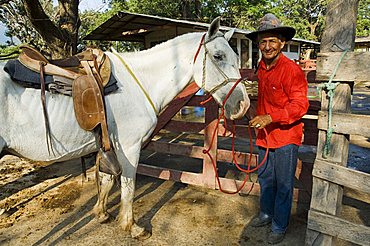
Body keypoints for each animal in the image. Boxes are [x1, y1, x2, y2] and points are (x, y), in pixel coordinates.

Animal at [0, 18, 249, 239]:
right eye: (218, 56)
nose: (243, 105)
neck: (138, 83)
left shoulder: (108, 145)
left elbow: (107, 179)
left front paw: (101, 213)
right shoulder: (129, 148)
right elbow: (128, 187)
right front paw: (131, 227)